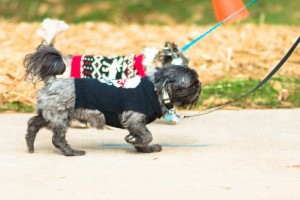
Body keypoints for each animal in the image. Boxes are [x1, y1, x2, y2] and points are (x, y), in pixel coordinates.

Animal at [23, 44, 202, 156]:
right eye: (192, 83)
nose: (200, 86)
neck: (155, 90)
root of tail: (52, 81)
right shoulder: (134, 119)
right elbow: (147, 135)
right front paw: (138, 142)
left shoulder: (135, 124)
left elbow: (142, 137)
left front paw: (143, 148)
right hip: (61, 118)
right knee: (57, 139)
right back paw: (71, 152)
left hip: (49, 115)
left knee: (33, 123)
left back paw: (30, 144)